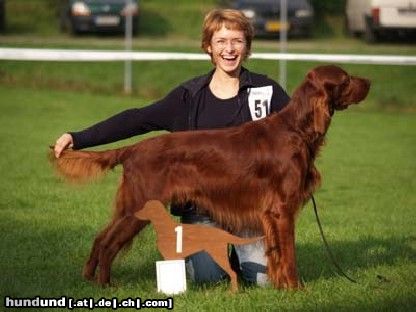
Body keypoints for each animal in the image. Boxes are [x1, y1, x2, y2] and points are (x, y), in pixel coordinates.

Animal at [51, 64, 370, 288]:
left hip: (132, 207)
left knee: (100, 237)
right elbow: (289, 254)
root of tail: (133, 148)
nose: (369, 83)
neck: (296, 130)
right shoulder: (281, 210)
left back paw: (90, 278)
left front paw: (281, 286)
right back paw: (106, 285)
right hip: (140, 207)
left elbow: (276, 254)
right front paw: (295, 288)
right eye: (345, 79)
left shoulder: (273, 214)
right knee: (108, 243)